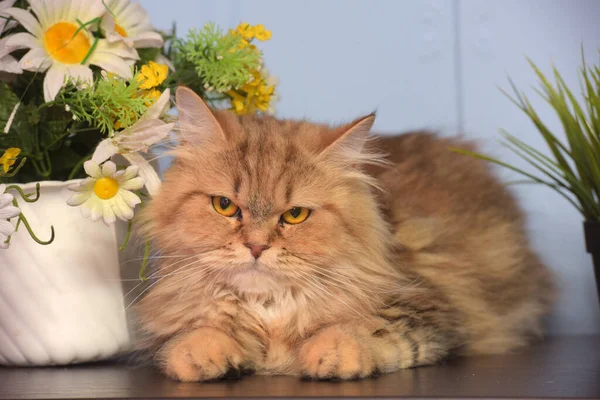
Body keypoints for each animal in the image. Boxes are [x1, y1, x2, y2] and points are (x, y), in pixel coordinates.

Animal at [135, 86, 552, 382]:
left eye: (295, 215)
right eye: (224, 206)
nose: (256, 246)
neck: (269, 312)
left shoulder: (430, 307)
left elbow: (368, 329)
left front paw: (330, 354)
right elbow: (195, 334)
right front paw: (204, 354)